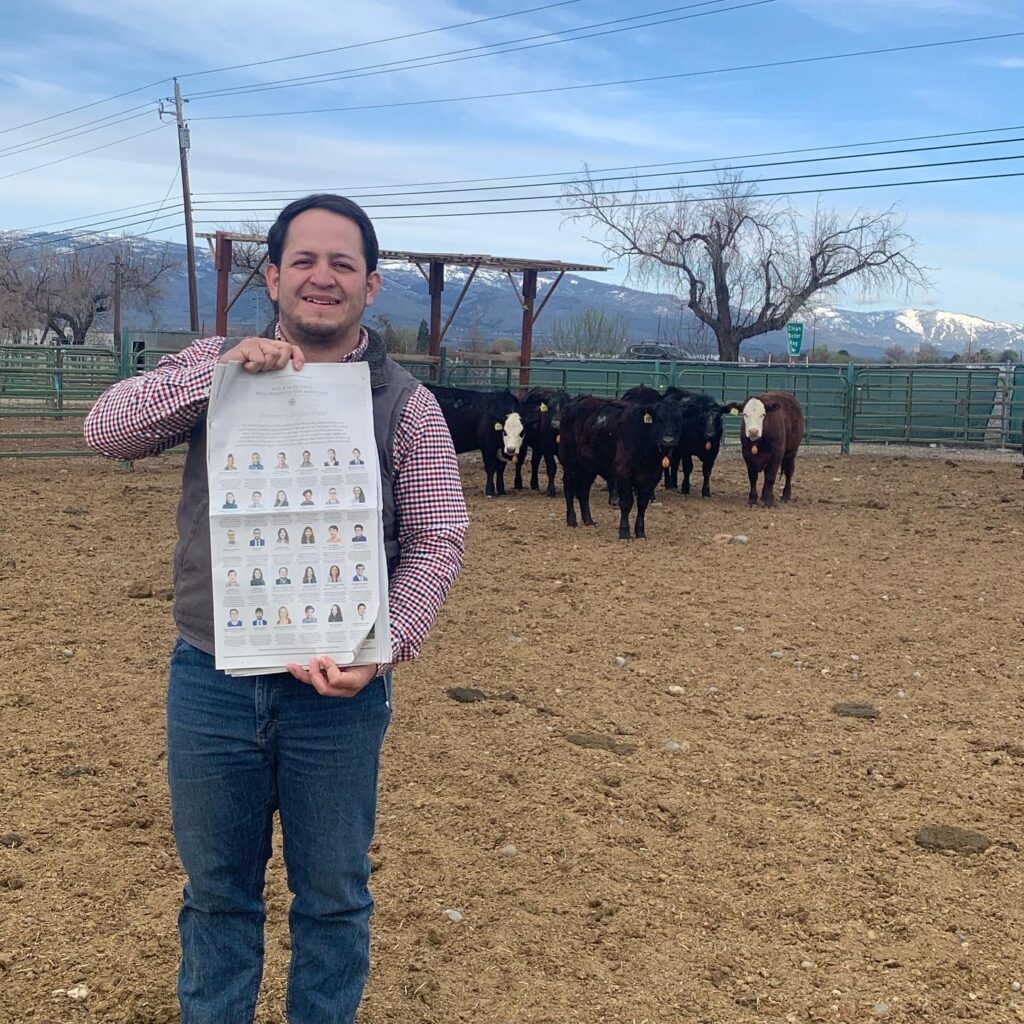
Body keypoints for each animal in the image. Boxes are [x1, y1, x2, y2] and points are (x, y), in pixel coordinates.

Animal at [557, 393, 684, 544]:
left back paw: (588, 521)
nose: (668, 441)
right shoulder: (623, 474)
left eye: (678, 420)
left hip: (588, 467)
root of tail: (577, 400)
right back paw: (571, 520)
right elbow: (626, 502)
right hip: (569, 462)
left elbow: (642, 504)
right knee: (569, 489)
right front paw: (624, 532)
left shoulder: (651, 478)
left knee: (583, 492)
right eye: (659, 420)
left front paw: (640, 532)